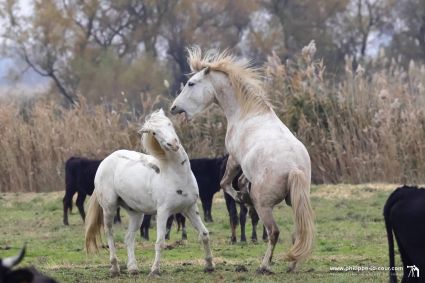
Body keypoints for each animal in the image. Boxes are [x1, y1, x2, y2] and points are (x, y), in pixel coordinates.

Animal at [85, 108, 214, 278]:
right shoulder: (163, 212)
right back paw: (115, 268)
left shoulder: (190, 208)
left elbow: (204, 234)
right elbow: (160, 242)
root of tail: (106, 160)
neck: (176, 174)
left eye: (169, 123)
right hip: (109, 208)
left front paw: (209, 266)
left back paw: (133, 268)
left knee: (128, 238)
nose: (173, 144)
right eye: (154, 132)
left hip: (136, 213)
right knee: (109, 233)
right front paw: (154, 271)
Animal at [170, 48, 314, 276]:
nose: (173, 107)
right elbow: (241, 182)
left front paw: (241, 196)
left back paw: (264, 266)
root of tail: (293, 168)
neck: (248, 112)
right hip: (295, 201)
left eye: (191, 83)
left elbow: (226, 183)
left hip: (264, 206)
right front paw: (243, 193)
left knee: (273, 232)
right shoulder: (244, 167)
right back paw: (292, 265)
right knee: (298, 232)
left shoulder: (234, 159)